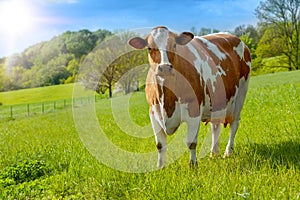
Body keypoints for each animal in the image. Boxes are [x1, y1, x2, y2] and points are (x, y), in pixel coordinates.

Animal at [128, 26, 251, 167]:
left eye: (174, 45)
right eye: (149, 48)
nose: (165, 67)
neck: (167, 101)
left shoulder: (194, 110)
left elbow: (191, 142)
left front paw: (193, 165)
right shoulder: (153, 113)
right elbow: (160, 145)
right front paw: (160, 167)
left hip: (241, 95)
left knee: (234, 124)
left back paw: (228, 152)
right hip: (217, 101)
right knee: (215, 126)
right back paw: (214, 154)